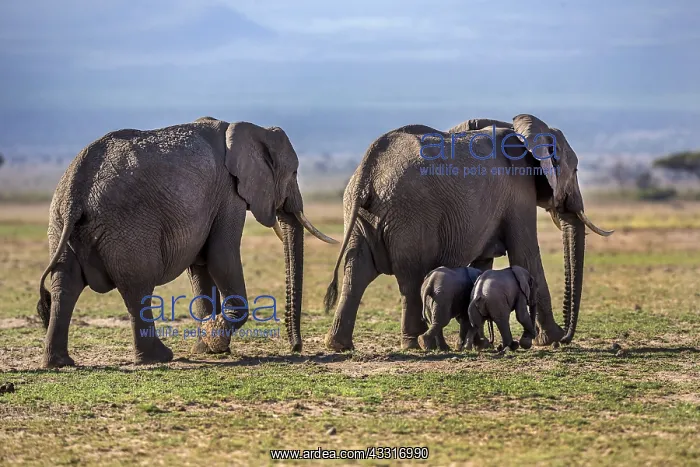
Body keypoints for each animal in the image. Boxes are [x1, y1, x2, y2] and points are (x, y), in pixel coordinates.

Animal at [36, 116, 337, 368]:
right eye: (294, 173)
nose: (296, 347)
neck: (247, 128)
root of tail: (76, 191)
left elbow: (201, 266)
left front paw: (207, 346)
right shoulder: (228, 194)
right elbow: (221, 256)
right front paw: (214, 337)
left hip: (59, 223)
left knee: (65, 284)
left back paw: (59, 363)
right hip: (127, 228)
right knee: (137, 285)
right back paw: (159, 357)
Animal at [323, 114, 613, 351]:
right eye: (575, 170)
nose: (567, 337)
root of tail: (368, 169)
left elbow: (483, 264)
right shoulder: (519, 194)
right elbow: (526, 256)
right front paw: (551, 339)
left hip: (361, 215)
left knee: (355, 272)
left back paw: (340, 345)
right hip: (409, 215)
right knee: (410, 276)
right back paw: (414, 345)